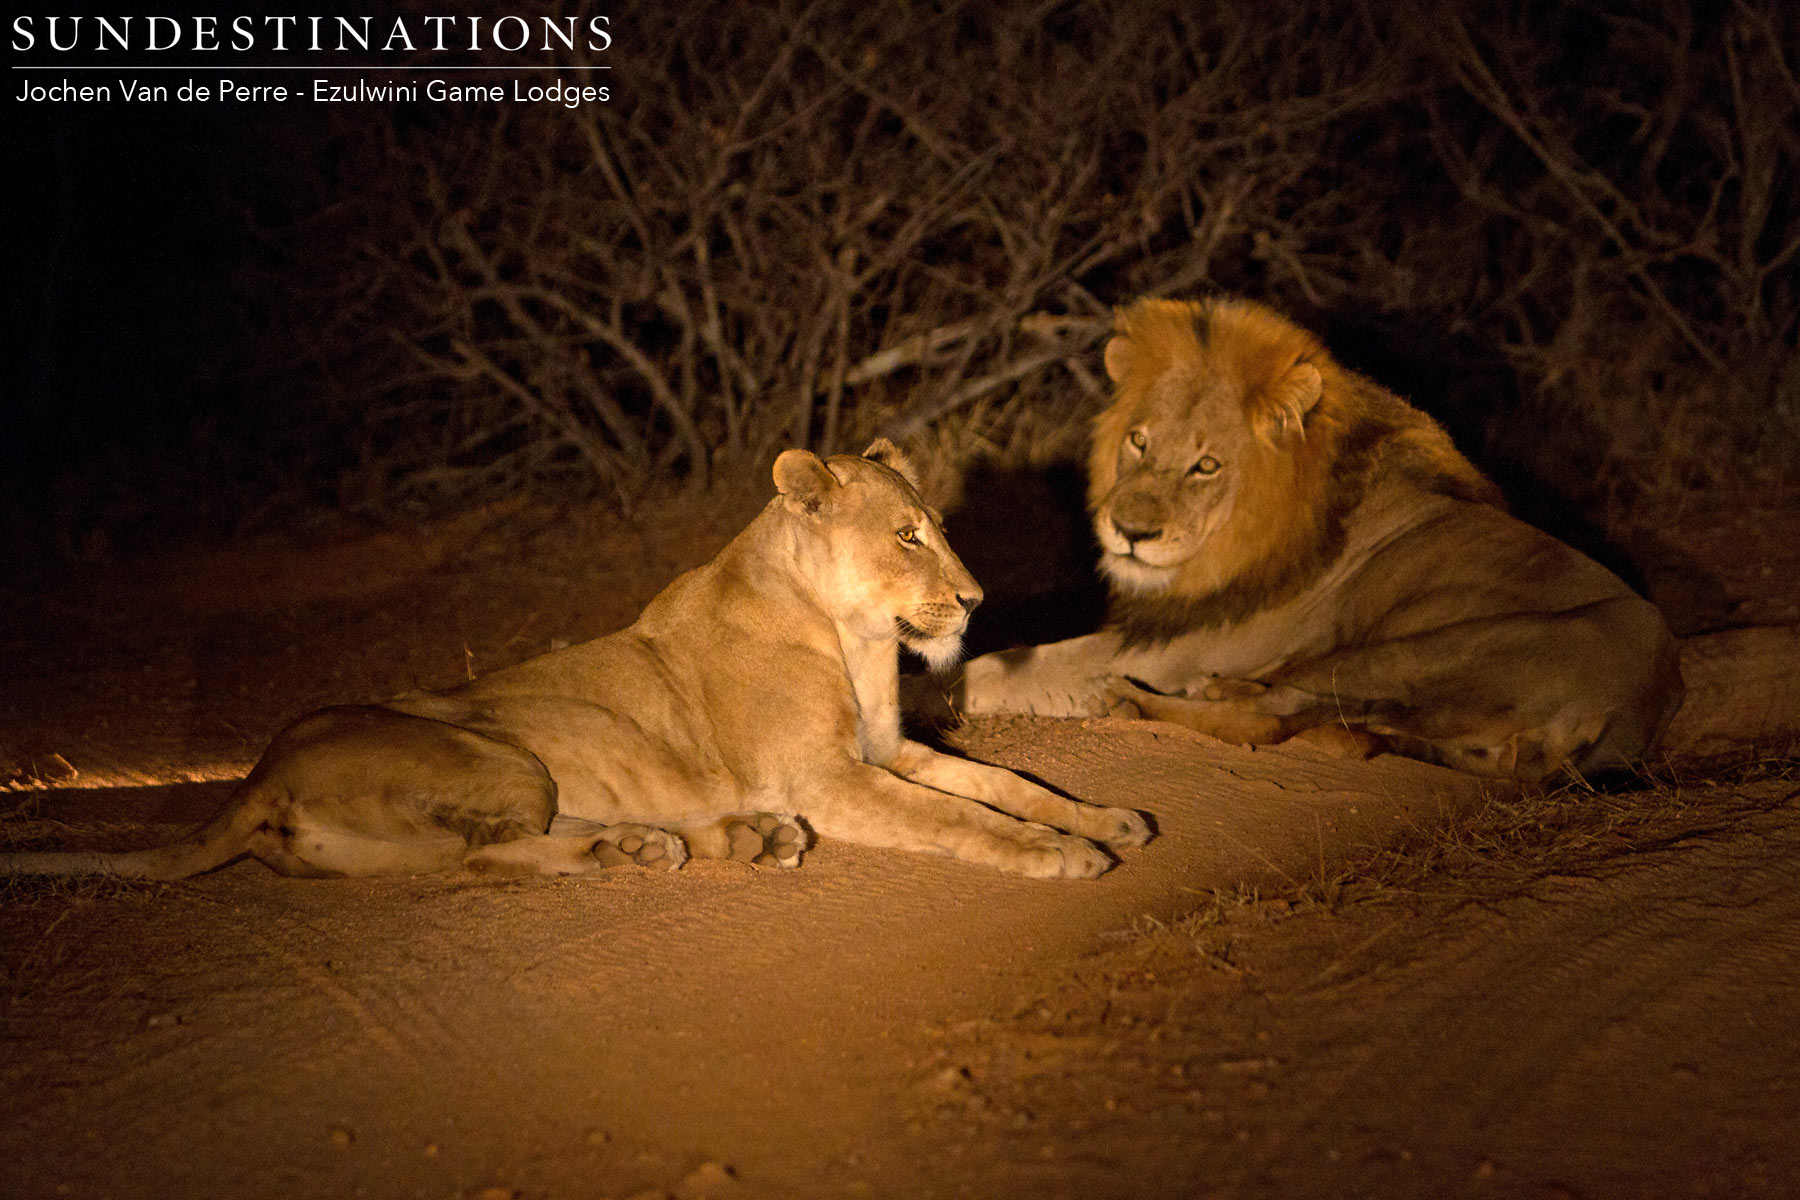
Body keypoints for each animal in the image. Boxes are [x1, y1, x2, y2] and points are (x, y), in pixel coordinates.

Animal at [3, 440, 1150, 883]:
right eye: (908, 537)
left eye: (941, 529)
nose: (976, 601)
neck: (857, 640)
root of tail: (256, 777)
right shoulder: (831, 776)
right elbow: (962, 819)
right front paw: (1059, 855)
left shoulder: (887, 751)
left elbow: (1006, 781)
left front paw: (1105, 819)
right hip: (504, 758)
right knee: (490, 855)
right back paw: (687, 844)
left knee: (484, 854)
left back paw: (728, 837)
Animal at [956, 298, 1684, 782]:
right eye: (1138, 441)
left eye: (1206, 465)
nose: (1129, 532)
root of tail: (1641, 708)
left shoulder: (1184, 644)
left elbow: (1010, 663)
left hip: (1415, 649)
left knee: (1272, 717)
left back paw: (1135, 701)